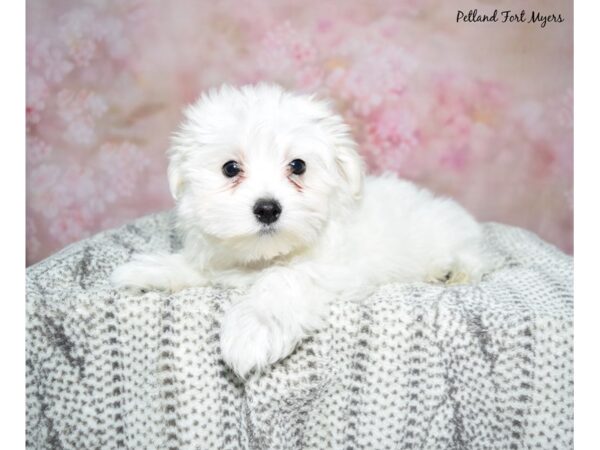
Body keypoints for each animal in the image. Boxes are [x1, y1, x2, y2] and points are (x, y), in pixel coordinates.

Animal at [111, 83, 488, 376]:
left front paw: (253, 328)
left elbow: (283, 279)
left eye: (298, 166)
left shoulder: (338, 270)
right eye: (230, 168)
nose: (267, 209)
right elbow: (198, 266)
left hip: (454, 235)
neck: (265, 255)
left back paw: (451, 271)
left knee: (478, 257)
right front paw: (151, 270)